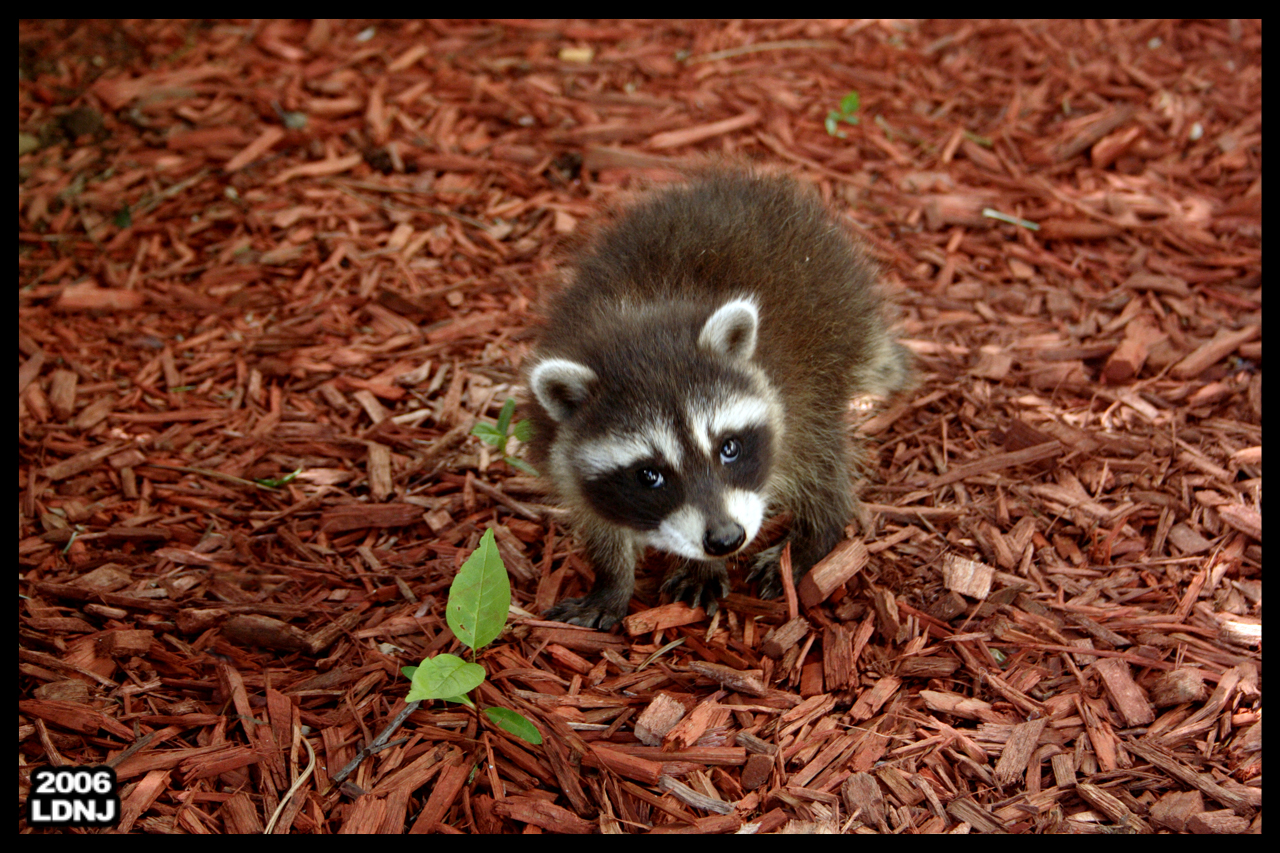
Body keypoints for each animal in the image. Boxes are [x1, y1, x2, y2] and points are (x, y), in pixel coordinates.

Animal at [522, 171, 911, 625]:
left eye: (729, 448)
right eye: (649, 475)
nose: (725, 539)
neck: (640, 323)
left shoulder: (791, 390)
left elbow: (812, 462)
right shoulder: (561, 451)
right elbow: (596, 517)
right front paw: (612, 578)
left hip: (831, 344)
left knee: (822, 461)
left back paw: (814, 539)